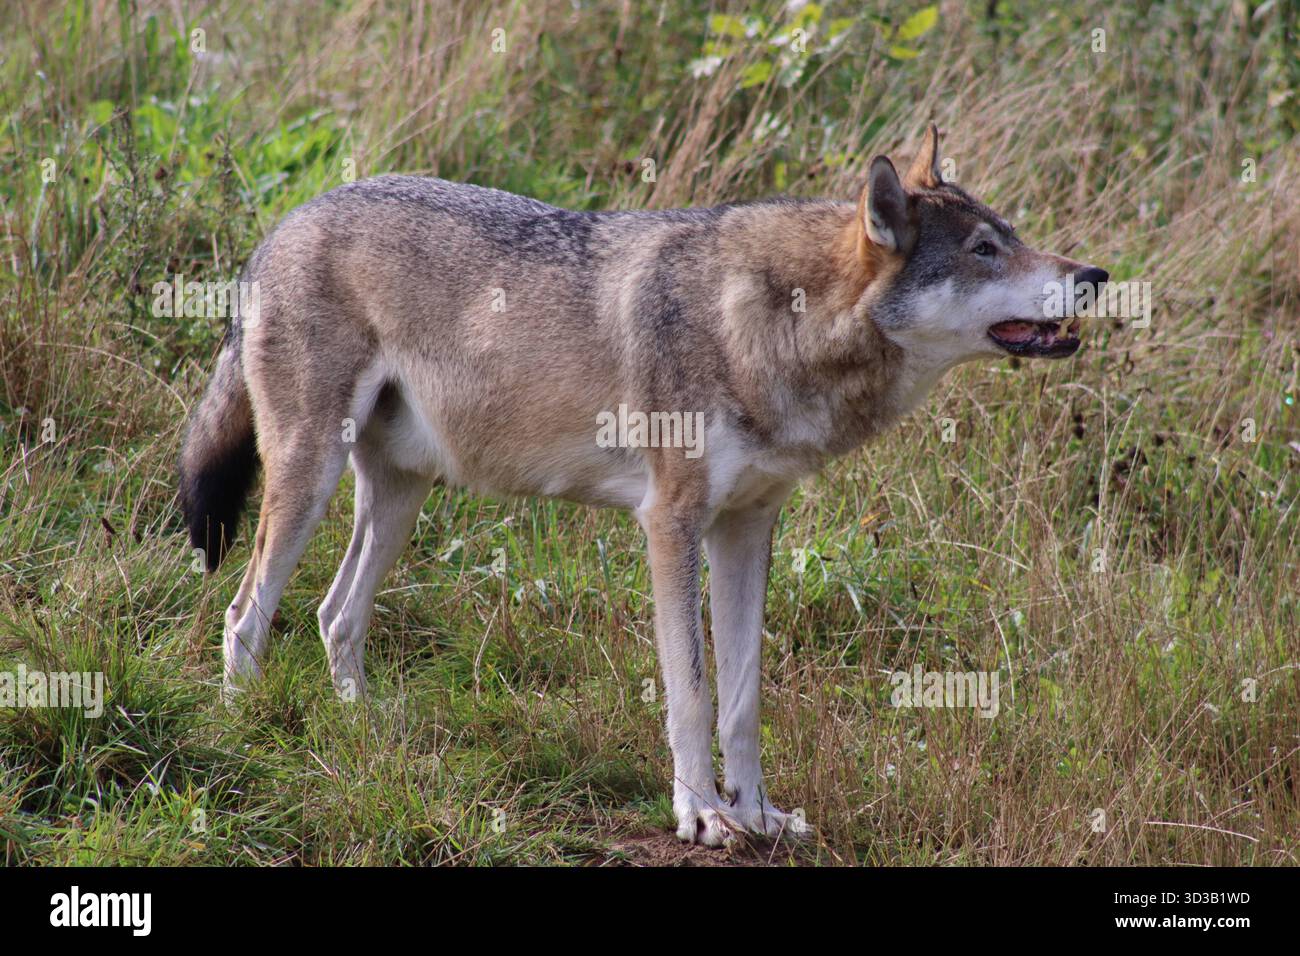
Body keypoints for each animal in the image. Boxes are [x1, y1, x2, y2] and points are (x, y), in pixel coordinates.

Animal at [179, 124, 1106, 846]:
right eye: (985, 251)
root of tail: (284, 225)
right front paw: (702, 816)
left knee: (334, 616)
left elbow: (742, 700)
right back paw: (244, 726)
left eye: (1013, 235)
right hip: (309, 481)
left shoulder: (747, 530)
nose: (1095, 276)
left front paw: (758, 816)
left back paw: (364, 729)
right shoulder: (672, 525)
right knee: (244, 613)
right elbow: (691, 693)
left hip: (400, 497)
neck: (770, 326)